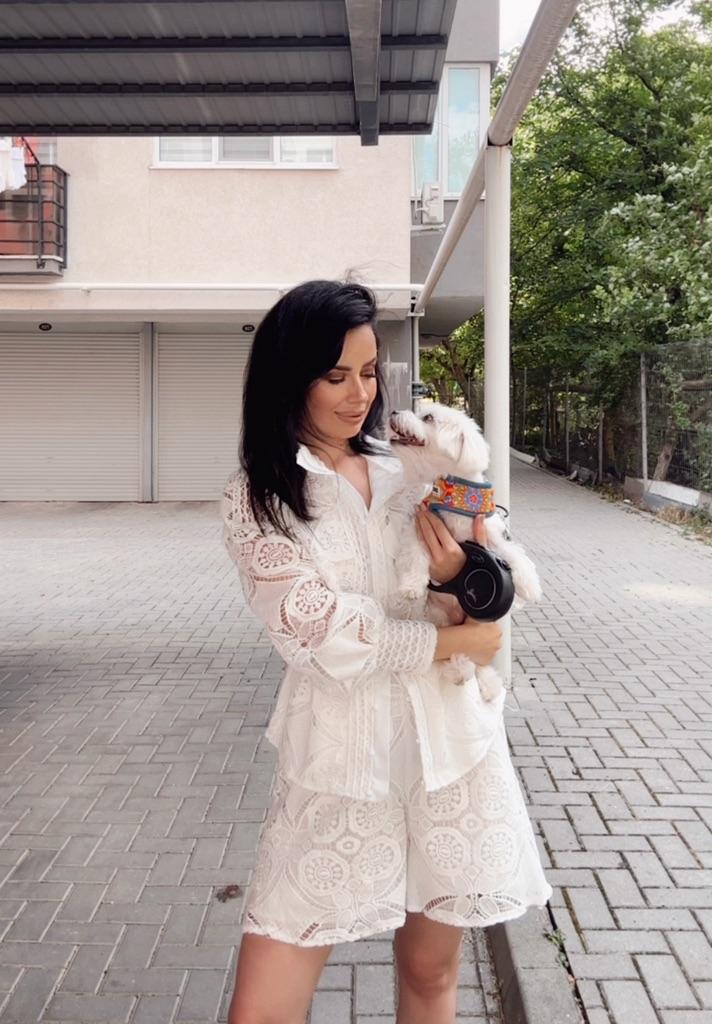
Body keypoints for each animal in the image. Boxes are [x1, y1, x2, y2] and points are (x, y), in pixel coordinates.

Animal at [389, 402, 543, 700]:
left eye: (428, 417)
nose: (392, 413)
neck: (453, 497)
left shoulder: (490, 535)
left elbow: (513, 552)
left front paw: (529, 584)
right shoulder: (420, 527)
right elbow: (415, 556)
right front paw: (411, 586)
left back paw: (485, 681)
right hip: (438, 618)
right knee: (457, 653)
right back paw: (460, 669)